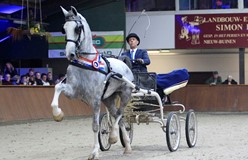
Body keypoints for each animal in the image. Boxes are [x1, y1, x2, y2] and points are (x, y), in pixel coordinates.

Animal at [50, 5, 134, 159]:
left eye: (77, 29)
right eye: (64, 29)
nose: (69, 54)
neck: (86, 63)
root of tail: (124, 63)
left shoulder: (95, 100)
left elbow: (95, 126)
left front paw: (95, 152)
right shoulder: (73, 92)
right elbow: (58, 87)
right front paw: (58, 114)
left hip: (125, 94)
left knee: (119, 114)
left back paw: (113, 137)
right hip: (108, 99)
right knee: (119, 117)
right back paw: (127, 147)